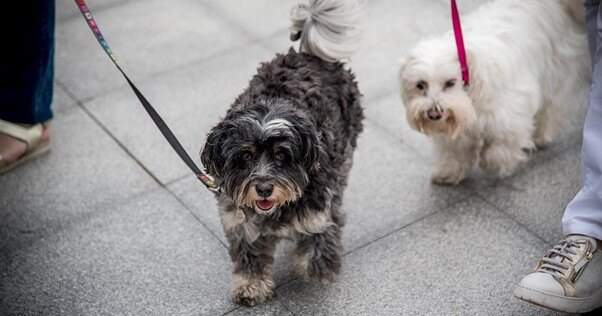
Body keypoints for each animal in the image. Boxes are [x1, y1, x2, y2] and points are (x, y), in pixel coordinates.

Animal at [200, 0, 360, 306]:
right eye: (246, 155)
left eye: (283, 155)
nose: (264, 188)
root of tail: (308, 54)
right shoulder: (239, 221)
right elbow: (249, 256)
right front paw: (250, 285)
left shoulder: (320, 204)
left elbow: (318, 233)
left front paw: (318, 268)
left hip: (346, 152)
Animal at [398, 0, 584, 184]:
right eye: (420, 85)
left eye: (450, 83)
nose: (434, 114)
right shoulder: (456, 133)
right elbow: (454, 152)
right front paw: (448, 171)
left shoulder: (509, 116)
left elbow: (500, 148)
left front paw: (493, 164)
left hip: (553, 73)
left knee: (549, 108)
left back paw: (540, 137)